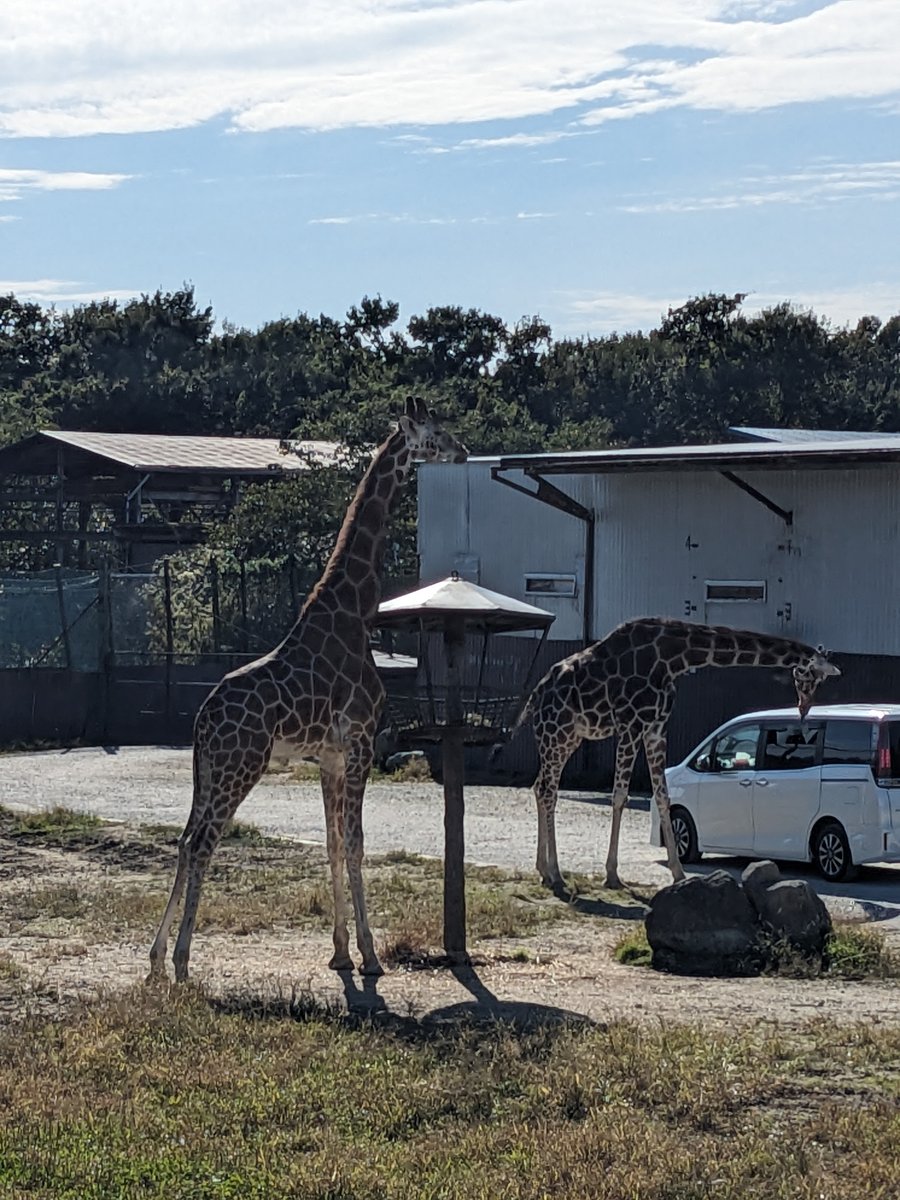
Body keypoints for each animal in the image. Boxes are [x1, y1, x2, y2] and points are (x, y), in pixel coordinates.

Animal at [148, 397, 467, 982]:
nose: (463, 452)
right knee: (203, 843)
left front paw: (340, 952)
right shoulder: (361, 742)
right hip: (241, 766)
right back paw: (182, 962)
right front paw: (370, 956)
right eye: (435, 435)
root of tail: (203, 719)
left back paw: (155, 960)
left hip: (208, 771)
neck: (355, 610)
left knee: (183, 840)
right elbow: (357, 844)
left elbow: (334, 844)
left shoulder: (330, 757)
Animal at [508, 617, 841, 891]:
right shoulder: (631, 724)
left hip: (569, 738)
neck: (673, 658)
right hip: (556, 732)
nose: (804, 708)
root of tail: (538, 692)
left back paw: (543, 870)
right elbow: (620, 796)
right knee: (549, 791)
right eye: (809, 675)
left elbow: (663, 797)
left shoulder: (657, 727)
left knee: (540, 786)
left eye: (818, 679)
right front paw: (612, 875)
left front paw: (679, 873)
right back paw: (555, 874)